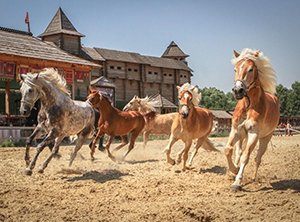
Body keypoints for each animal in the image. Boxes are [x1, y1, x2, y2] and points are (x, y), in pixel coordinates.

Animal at [225, 49, 282, 191]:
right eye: (235, 69)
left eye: (251, 69)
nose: (238, 90)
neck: (248, 105)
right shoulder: (236, 130)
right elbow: (228, 150)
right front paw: (234, 171)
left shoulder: (253, 134)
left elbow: (246, 157)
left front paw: (237, 182)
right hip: (242, 136)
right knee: (238, 152)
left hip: (265, 139)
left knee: (257, 158)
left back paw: (254, 178)